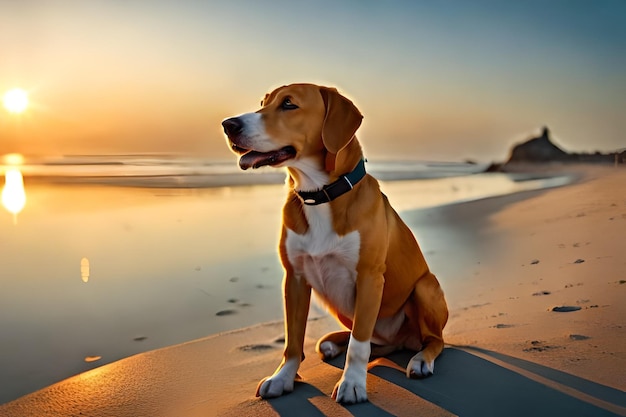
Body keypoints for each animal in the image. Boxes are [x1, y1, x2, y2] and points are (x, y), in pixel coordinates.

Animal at [222, 83, 446, 402]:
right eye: (263, 103)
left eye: (288, 104)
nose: (228, 125)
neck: (320, 194)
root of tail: (403, 341)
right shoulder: (295, 278)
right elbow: (293, 339)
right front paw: (283, 377)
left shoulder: (369, 279)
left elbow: (358, 344)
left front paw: (352, 383)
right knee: (378, 343)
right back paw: (333, 345)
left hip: (426, 286)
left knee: (434, 340)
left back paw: (421, 360)